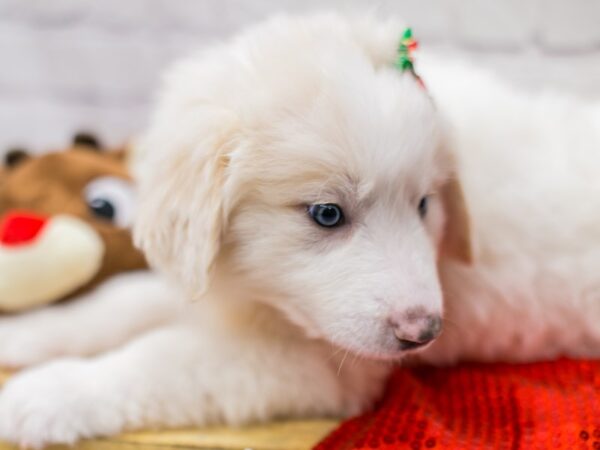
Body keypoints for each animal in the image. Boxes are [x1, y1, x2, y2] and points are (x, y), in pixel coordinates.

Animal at [1, 12, 600, 448]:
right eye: (327, 214)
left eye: (424, 205)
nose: (424, 332)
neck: (261, 297)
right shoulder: (220, 286)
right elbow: (119, 301)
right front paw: (25, 333)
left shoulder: (318, 366)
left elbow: (161, 359)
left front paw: (41, 396)